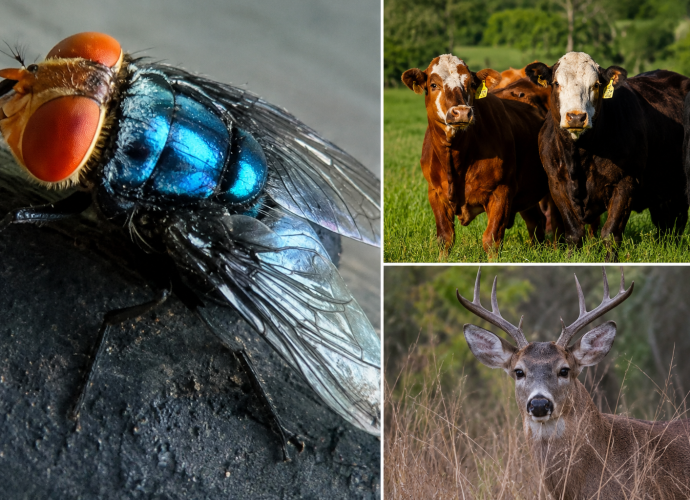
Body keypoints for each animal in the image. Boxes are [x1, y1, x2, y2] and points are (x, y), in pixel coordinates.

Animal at [402, 54, 551, 253]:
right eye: (433, 85)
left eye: (471, 84)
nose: (461, 112)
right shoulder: (435, 193)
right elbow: (445, 238)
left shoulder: (501, 192)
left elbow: (491, 240)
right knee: (536, 221)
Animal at [526, 53, 689, 259]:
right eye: (556, 83)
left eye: (596, 84)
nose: (576, 117)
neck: (579, 157)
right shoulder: (556, 184)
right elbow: (573, 233)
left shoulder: (625, 183)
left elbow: (610, 233)